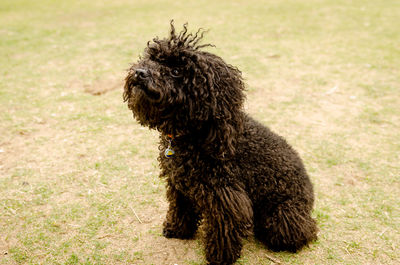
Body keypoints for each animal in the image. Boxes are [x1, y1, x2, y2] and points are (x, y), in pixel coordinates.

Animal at [123, 22, 318, 264]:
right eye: (153, 59)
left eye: (177, 71)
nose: (140, 73)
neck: (194, 135)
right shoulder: (179, 184)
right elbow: (180, 208)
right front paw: (177, 230)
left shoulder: (225, 195)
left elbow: (222, 228)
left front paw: (220, 257)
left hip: (283, 216)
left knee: (301, 232)